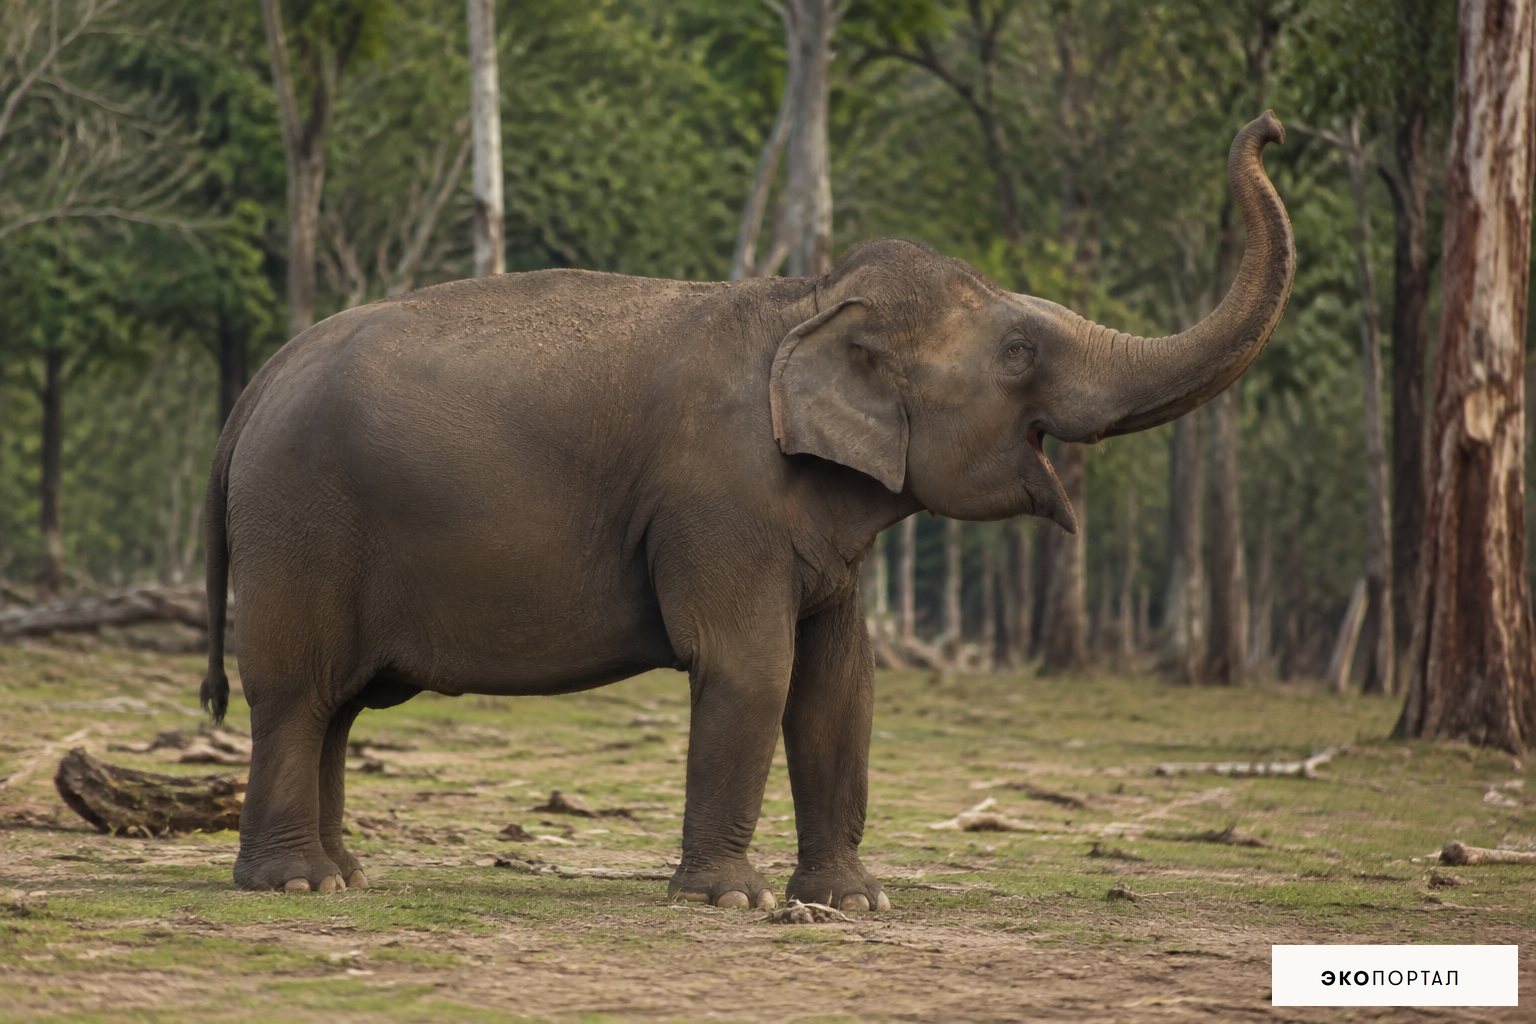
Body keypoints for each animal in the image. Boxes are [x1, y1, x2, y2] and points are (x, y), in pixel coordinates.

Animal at [199, 112, 1293, 908]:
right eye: (1022, 350)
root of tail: (255, 387)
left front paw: (853, 904)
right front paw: (733, 902)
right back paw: (293, 886)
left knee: (337, 704)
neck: (807, 298)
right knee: (295, 693)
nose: (1272, 128)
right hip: (300, 522)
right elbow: (752, 667)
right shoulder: (719, 501)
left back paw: (343, 877)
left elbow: (841, 685)